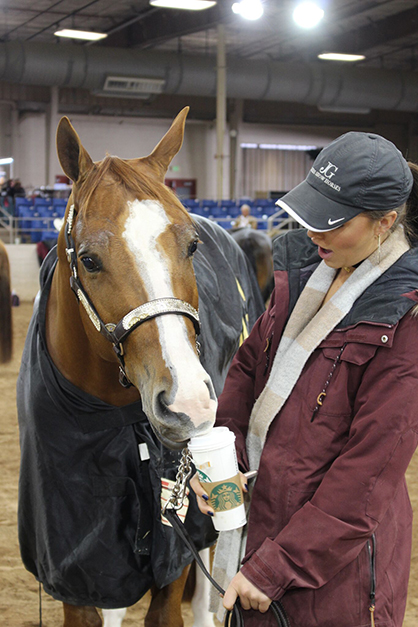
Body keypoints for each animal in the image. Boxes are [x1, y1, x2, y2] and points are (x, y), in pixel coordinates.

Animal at [18, 109, 262, 627]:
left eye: (192, 247)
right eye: (89, 259)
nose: (188, 403)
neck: (111, 417)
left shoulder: (173, 557)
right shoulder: (78, 566)